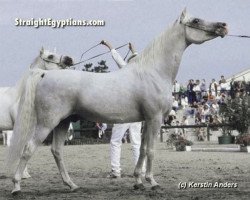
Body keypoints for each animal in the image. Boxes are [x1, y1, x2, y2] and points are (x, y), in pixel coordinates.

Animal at [7, 9, 228, 194]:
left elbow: (142, 150)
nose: (223, 26)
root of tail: (44, 74)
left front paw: (138, 181)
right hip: (47, 123)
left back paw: (71, 185)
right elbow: (151, 151)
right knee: (28, 149)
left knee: (57, 151)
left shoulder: (146, 121)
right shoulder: (155, 118)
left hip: (63, 122)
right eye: (196, 20)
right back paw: (16, 186)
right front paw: (152, 182)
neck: (153, 72)